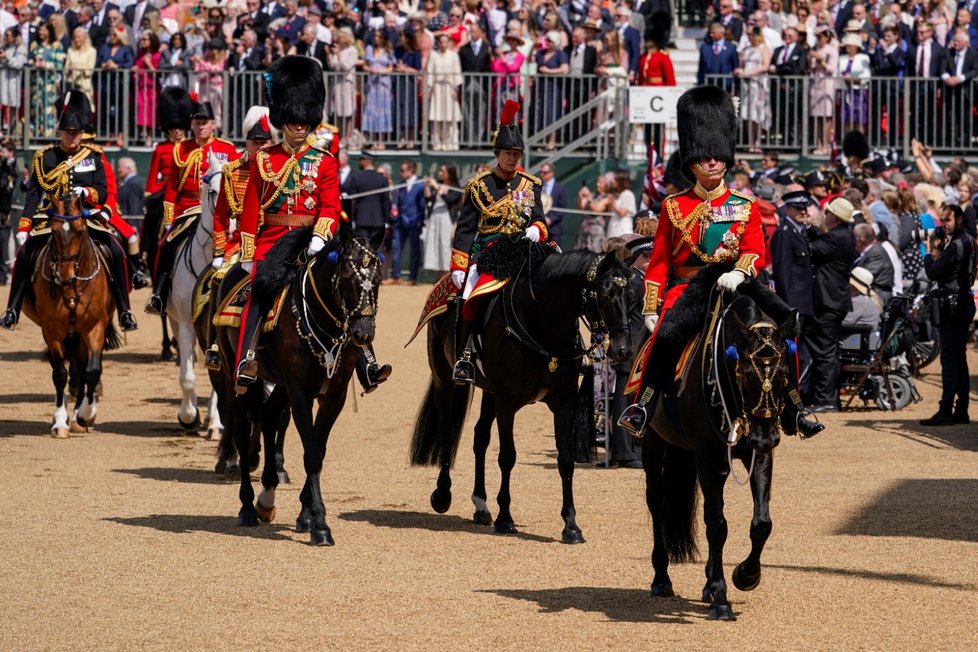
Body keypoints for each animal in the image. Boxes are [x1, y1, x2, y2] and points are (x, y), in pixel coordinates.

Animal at [22, 194, 121, 438]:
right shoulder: (51, 330)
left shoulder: (95, 327)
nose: (64, 276)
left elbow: (91, 370)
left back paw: (79, 413)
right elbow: (59, 373)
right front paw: (60, 421)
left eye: (79, 231)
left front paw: (86, 414)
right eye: (55, 231)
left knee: (82, 368)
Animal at [215, 224, 384, 544]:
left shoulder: (334, 395)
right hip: (236, 379)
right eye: (347, 277)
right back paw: (248, 507)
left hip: (281, 386)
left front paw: (306, 514)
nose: (363, 333)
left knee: (268, 418)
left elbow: (318, 448)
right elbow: (312, 455)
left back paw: (267, 497)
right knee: (243, 433)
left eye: (378, 279)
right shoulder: (301, 393)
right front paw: (320, 524)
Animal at [406, 244, 628, 540]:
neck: (542, 324)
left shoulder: (563, 401)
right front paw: (505, 518)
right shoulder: (508, 402)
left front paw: (570, 525)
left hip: (489, 392)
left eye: (630, 292)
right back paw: (442, 494)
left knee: (480, 437)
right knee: (446, 430)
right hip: (445, 379)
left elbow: (566, 459)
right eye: (604, 294)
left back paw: (481, 506)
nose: (623, 350)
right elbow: (507, 456)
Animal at [640, 266, 792, 620]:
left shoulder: (757, 454)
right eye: (745, 373)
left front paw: (746, 576)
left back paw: (708, 582)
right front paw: (722, 597)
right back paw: (661, 578)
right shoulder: (706, 454)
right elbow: (716, 525)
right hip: (654, 443)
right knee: (657, 501)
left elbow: (761, 522)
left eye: (783, 374)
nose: (766, 436)